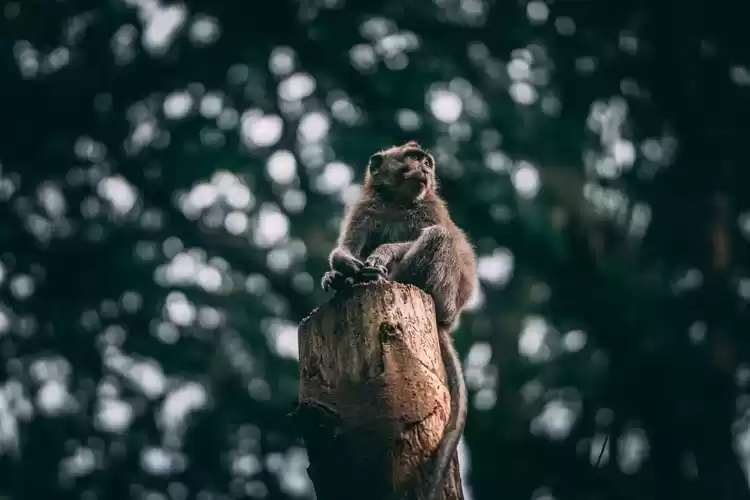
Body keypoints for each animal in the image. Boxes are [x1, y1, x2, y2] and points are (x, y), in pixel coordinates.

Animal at [321, 140, 477, 500]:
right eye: (412, 158)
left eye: (426, 161)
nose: (424, 170)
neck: (397, 201)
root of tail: (447, 319)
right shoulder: (366, 207)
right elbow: (348, 246)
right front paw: (341, 265)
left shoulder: (429, 206)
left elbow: (431, 232)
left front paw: (382, 254)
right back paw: (344, 280)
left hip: (443, 292)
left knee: (439, 237)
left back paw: (380, 277)